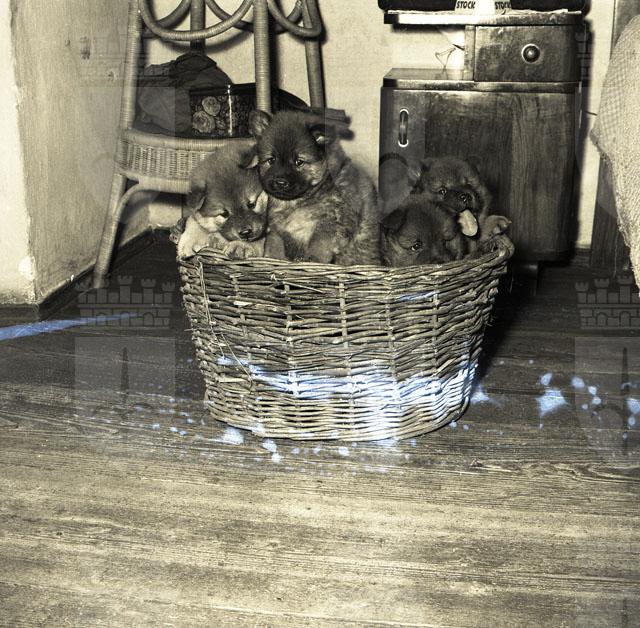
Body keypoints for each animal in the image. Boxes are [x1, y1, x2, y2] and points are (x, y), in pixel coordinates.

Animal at [248, 109, 380, 265]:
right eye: (271, 160)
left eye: (299, 162)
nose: (280, 182)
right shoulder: (277, 229)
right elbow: (274, 244)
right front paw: (271, 259)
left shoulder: (332, 222)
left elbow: (319, 242)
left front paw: (313, 259)